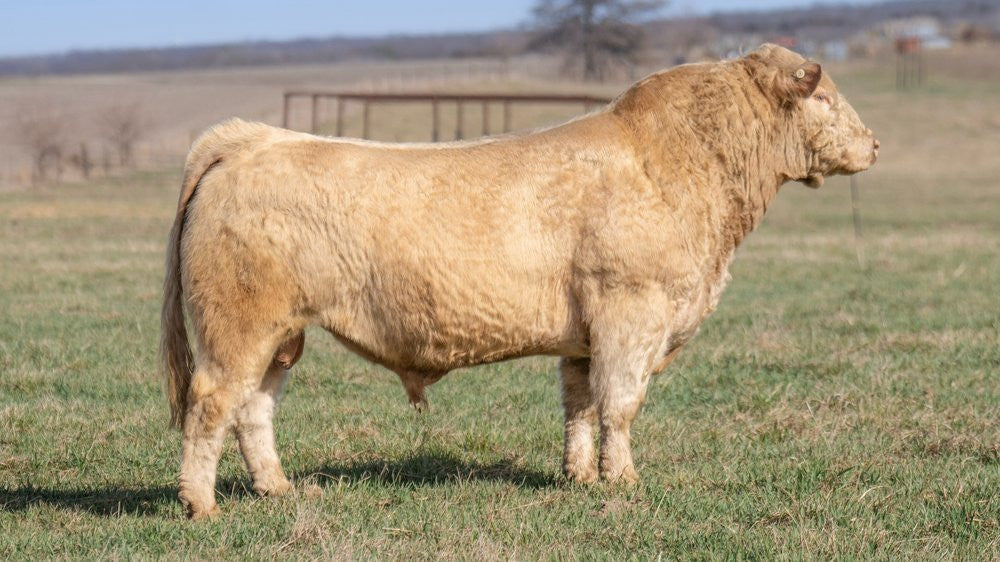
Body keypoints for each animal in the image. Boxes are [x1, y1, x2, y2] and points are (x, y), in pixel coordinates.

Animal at [160, 44, 878, 519]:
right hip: (237, 325)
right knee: (212, 402)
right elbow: (620, 404)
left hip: (280, 335)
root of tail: (250, 140)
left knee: (255, 407)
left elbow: (580, 404)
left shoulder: (586, 337)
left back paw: (277, 488)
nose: (873, 144)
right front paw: (624, 481)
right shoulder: (631, 314)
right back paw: (200, 505)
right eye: (821, 94)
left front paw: (581, 477)